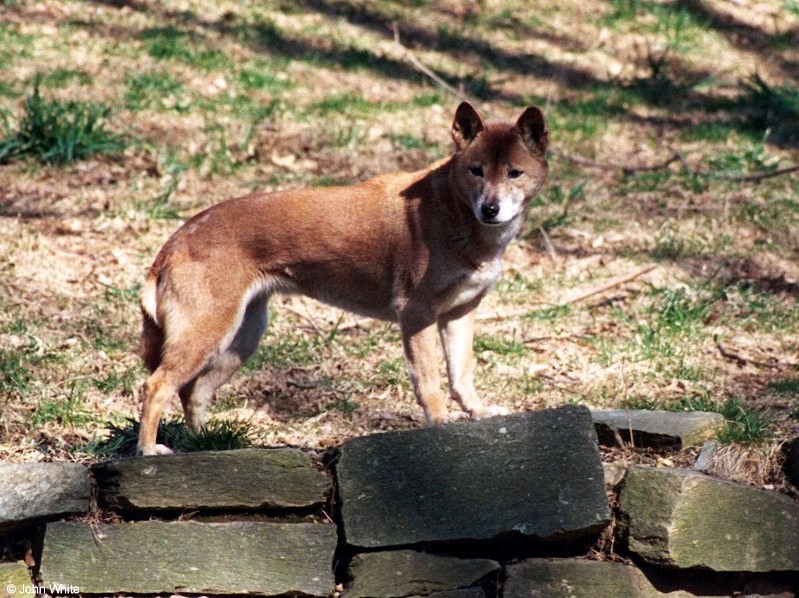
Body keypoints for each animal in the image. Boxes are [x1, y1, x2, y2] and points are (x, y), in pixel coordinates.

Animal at [138, 103, 552, 458]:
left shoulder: (459, 314)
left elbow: (461, 375)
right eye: (476, 170)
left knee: (193, 391)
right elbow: (430, 382)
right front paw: (439, 423)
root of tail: (173, 242)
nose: (491, 209)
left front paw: (478, 412)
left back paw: (204, 445)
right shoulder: (416, 313)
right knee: (156, 385)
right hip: (208, 333)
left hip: (241, 338)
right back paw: (149, 449)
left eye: (514, 173)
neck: (457, 215)